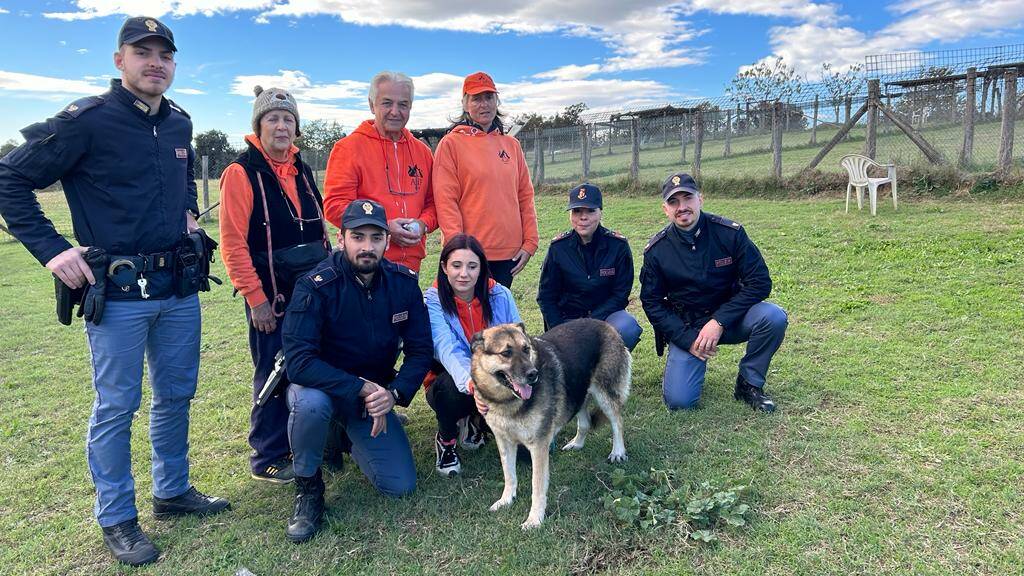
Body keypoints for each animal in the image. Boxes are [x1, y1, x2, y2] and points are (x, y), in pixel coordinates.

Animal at [471, 315, 630, 528]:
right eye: (506, 353)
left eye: (526, 349)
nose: (533, 374)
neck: (508, 403)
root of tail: (604, 324)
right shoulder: (504, 443)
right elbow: (509, 475)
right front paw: (506, 499)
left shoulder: (539, 446)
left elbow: (537, 485)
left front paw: (535, 519)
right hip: (577, 392)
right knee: (585, 422)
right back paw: (577, 443)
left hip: (604, 394)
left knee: (617, 421)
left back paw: (618, 451)